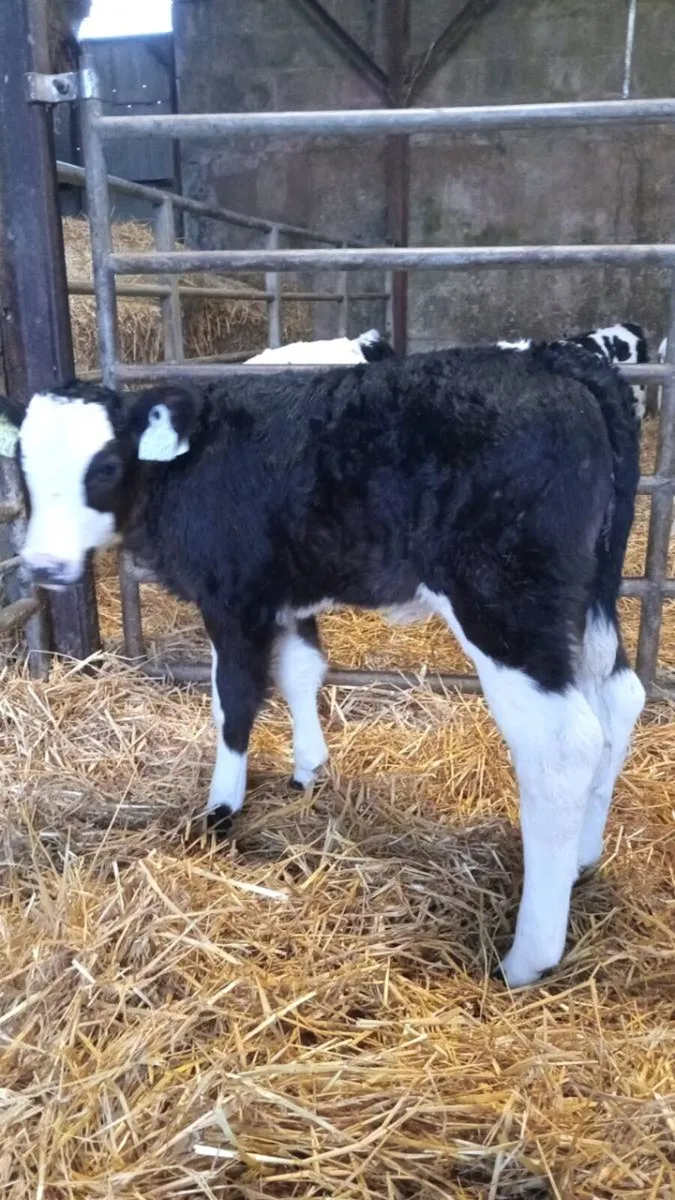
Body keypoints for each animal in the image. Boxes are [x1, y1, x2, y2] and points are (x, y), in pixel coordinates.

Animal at [0, 340, 644, 988]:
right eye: (22, 471)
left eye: (105, 467)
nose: (45, 565)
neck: (187, 467)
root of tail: (555, 358)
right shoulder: (287, 595)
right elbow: (301, 671)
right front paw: (308, 769)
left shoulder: (233, 598)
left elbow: (234, 701)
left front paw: (221, 810)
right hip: (587, 603)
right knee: (620, 702)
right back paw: (581, 859)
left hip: (504, 604)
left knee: (561, 747)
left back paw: (526, 956)